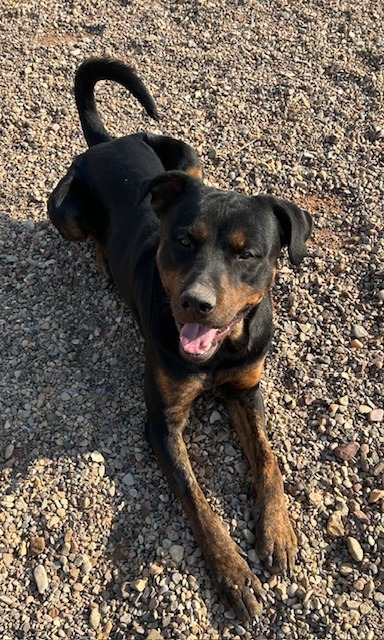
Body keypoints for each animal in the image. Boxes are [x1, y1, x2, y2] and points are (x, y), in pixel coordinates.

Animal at [48, 58, 312, 620]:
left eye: (248, 254)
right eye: (182, 241)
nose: (196, 302)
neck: (217, 353)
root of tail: (105, 143)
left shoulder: (245, 387)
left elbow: (268, 457)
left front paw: (277, 530)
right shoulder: (162, 421)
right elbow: (196, 498)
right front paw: (233, 572)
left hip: (186, 157)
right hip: (66, 213)